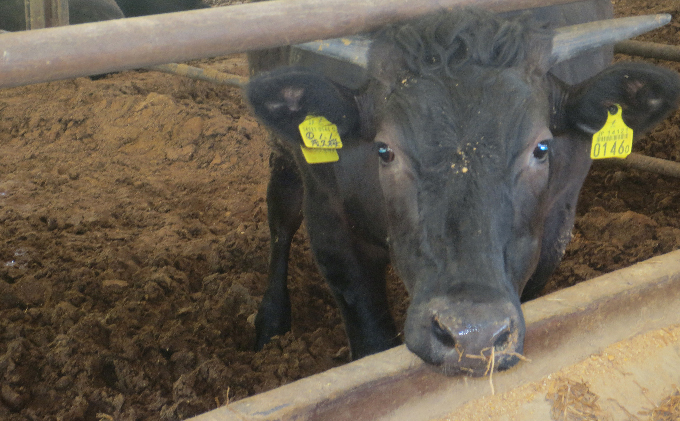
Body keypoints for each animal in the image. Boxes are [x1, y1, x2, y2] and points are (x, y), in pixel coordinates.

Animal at [246, 4, 680, 376]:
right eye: (385, 151)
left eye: (541, 148)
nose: (472, 333)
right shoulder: (330, 220)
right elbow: (370, 339)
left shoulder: (557, 221)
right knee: (281, 212)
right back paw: (270, 321)